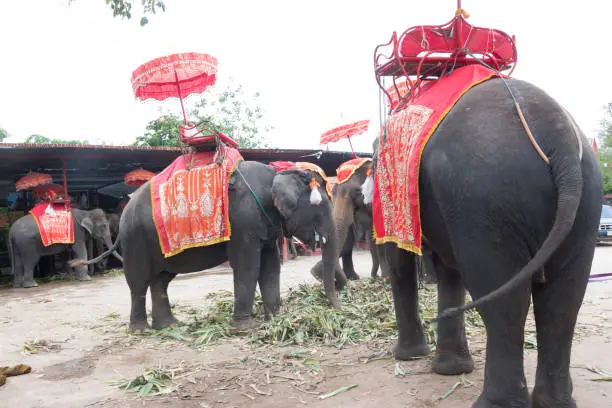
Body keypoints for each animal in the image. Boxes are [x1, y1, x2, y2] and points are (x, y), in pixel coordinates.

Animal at [76, 159, 340, 332]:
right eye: (320, 206)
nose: (335, 309)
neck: (277, 173)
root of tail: (125, 211)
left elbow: (271, 267)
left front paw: (276, 320)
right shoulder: (242, 224)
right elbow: (248, 267)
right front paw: (245, 329)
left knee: (161, 281)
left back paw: (170, 326)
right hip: (135, 239)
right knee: (139, 282)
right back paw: (141, 331)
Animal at [364, 77, 604, 408]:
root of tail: (561, 139)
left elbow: (400, 259)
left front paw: (409, 357)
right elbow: (448, 272)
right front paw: (450, 370)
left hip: (485, 196)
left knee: (504, 297)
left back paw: (494, 404)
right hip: (585, 200)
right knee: (564, 298)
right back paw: (554, 403)